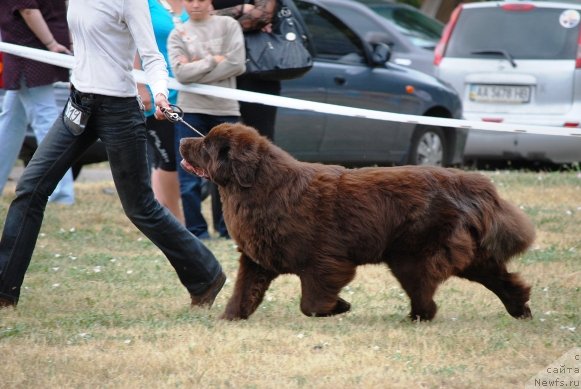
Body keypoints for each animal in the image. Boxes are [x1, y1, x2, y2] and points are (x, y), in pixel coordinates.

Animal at [179, 123, 532, 320]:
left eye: (206, 145)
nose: (182, 141)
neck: (258, 187)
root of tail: (469, 181)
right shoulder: (256, 259)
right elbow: (243, 293)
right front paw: (230, 318)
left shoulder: (323, 262)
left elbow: (311, 303)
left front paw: (340, 307)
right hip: (460, 255)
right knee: (500, 279)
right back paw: (520, 310)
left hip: (413, 257)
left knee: (426, 293)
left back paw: (418, 317)